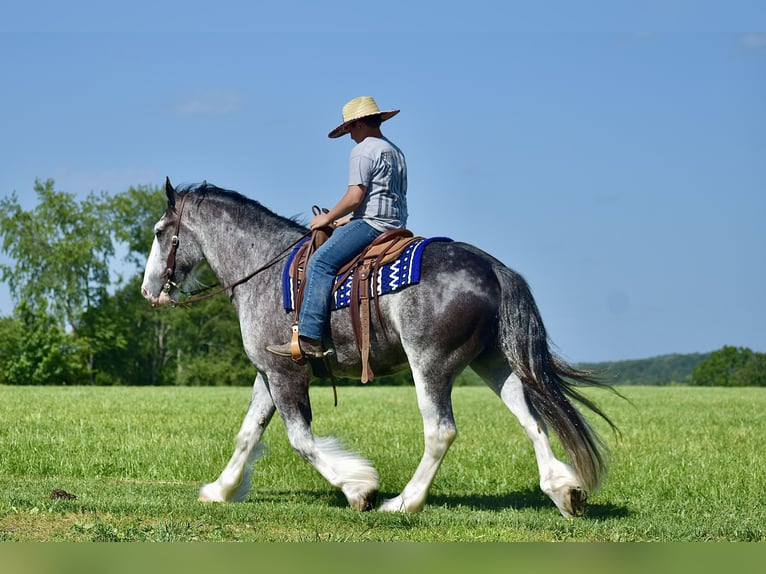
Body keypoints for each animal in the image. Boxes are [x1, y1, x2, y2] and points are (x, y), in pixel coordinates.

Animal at [140, 179, 616, 516]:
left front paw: (359, 488)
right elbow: (247, 432)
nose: (148, 291)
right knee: (532, 422)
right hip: (496, 364)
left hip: (431, 365)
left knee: (440, 431)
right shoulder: (268, 372)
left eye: (161, 232)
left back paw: (404, 502)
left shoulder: (286, 373)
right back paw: (564, 492)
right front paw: (220, 490)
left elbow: (301, 439)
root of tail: (494, 268)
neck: (263, 268)